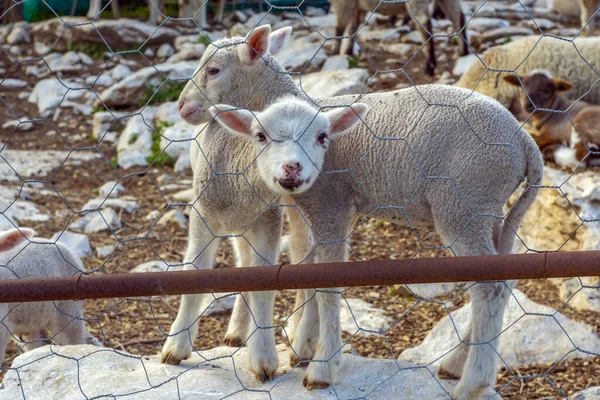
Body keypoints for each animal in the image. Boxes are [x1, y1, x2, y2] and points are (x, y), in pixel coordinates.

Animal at [161, 25, 544, 400]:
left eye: (214, 70)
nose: (181, 107)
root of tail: (524, 142)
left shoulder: (327, 203)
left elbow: (324, 281)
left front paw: (320, 366)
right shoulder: (310, 209)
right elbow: (306, 268)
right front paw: (305, 345)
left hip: (464, 203)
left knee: (488, 288)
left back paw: (471, 383)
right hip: (488, 208)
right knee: (502, 281)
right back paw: (455, 363)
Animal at [328, 0, 468, 76]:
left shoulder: (343, 4)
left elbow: (339, 29)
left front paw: (335, 54)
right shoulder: (357, 7)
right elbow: (353, 29)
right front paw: (348, 53)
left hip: (415, 2)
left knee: (424, 24)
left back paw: (430, 66)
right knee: (459, 18)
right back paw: (463, 53)